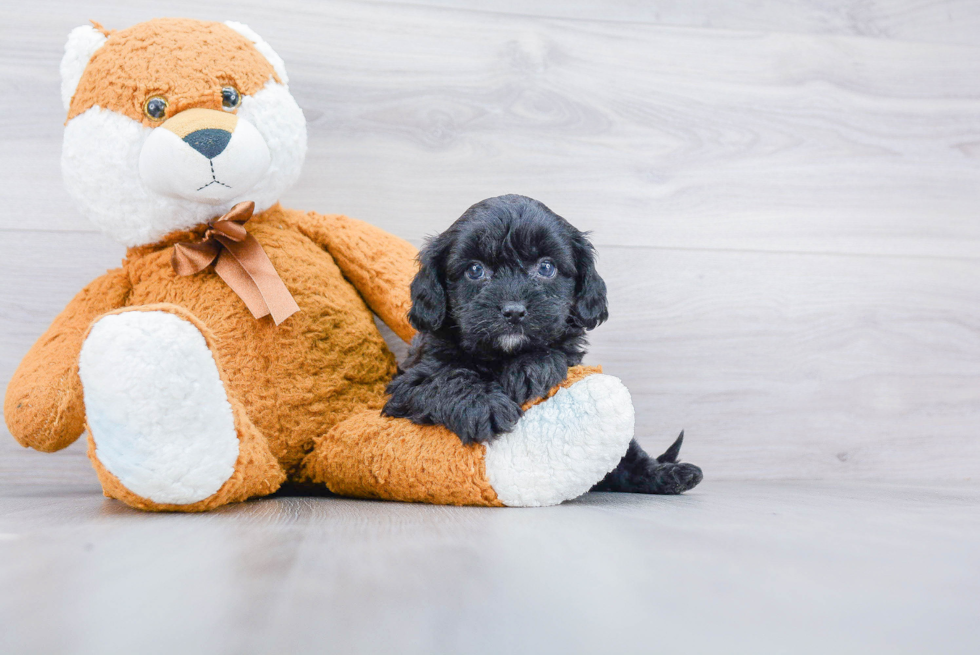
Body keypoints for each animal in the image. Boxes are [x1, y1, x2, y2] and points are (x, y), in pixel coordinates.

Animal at [384, 197, 704, 494]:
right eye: (475, 270)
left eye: (546, 267)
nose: (513, 311)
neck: (500, 356)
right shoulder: (406, 385)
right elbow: (445, 377)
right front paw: (483, 405)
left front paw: (531, 367)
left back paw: (668, 474)